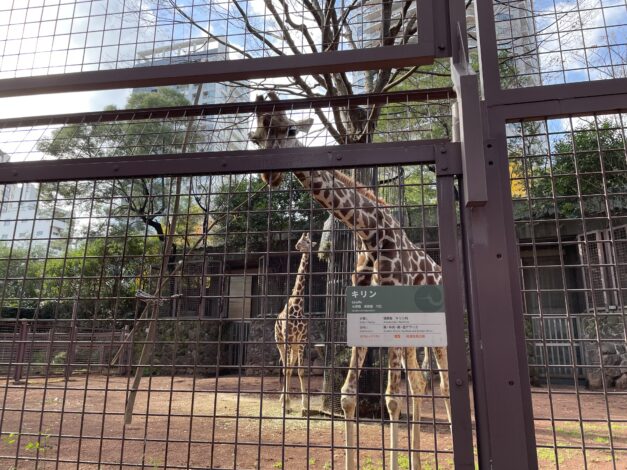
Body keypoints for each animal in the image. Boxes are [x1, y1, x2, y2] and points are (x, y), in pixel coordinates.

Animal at [250, 92, 452, 470]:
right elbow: (347, 396)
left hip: (437, 332)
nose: (270, 174)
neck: (370, 234)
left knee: (443, 384)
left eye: (290, 129)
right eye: (256, 138)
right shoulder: (363, 316)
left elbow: (391, 398)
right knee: (420, 383)